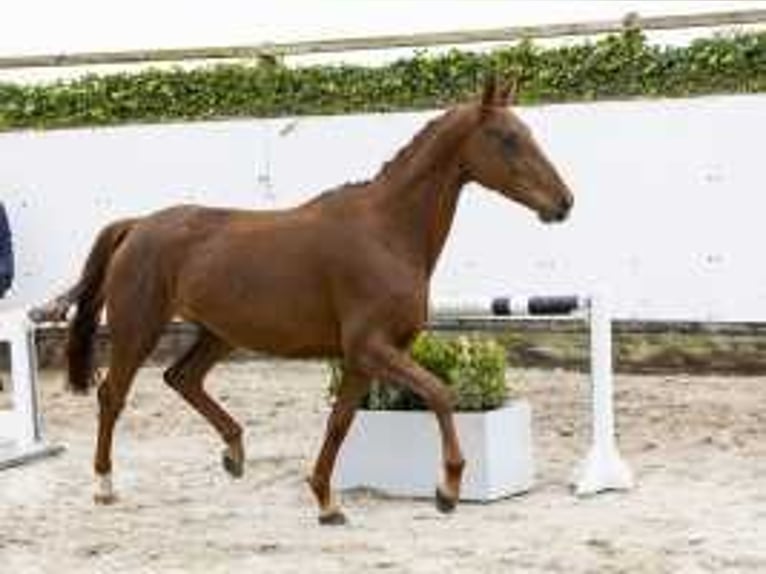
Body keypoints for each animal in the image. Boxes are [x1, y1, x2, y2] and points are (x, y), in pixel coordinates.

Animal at [64, 79, 568, 528]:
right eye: (507, 138)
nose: (564, 202)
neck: (386, 232)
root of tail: (138, 225)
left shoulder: (366, 357)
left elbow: (340, 422)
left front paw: (326, 503)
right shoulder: (371, 347)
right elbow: (439, 393)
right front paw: (447, 490)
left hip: (220, 334)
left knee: (181, 378)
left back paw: (234, 452)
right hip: (139, 328)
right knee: (113, 395)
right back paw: (104, 485)